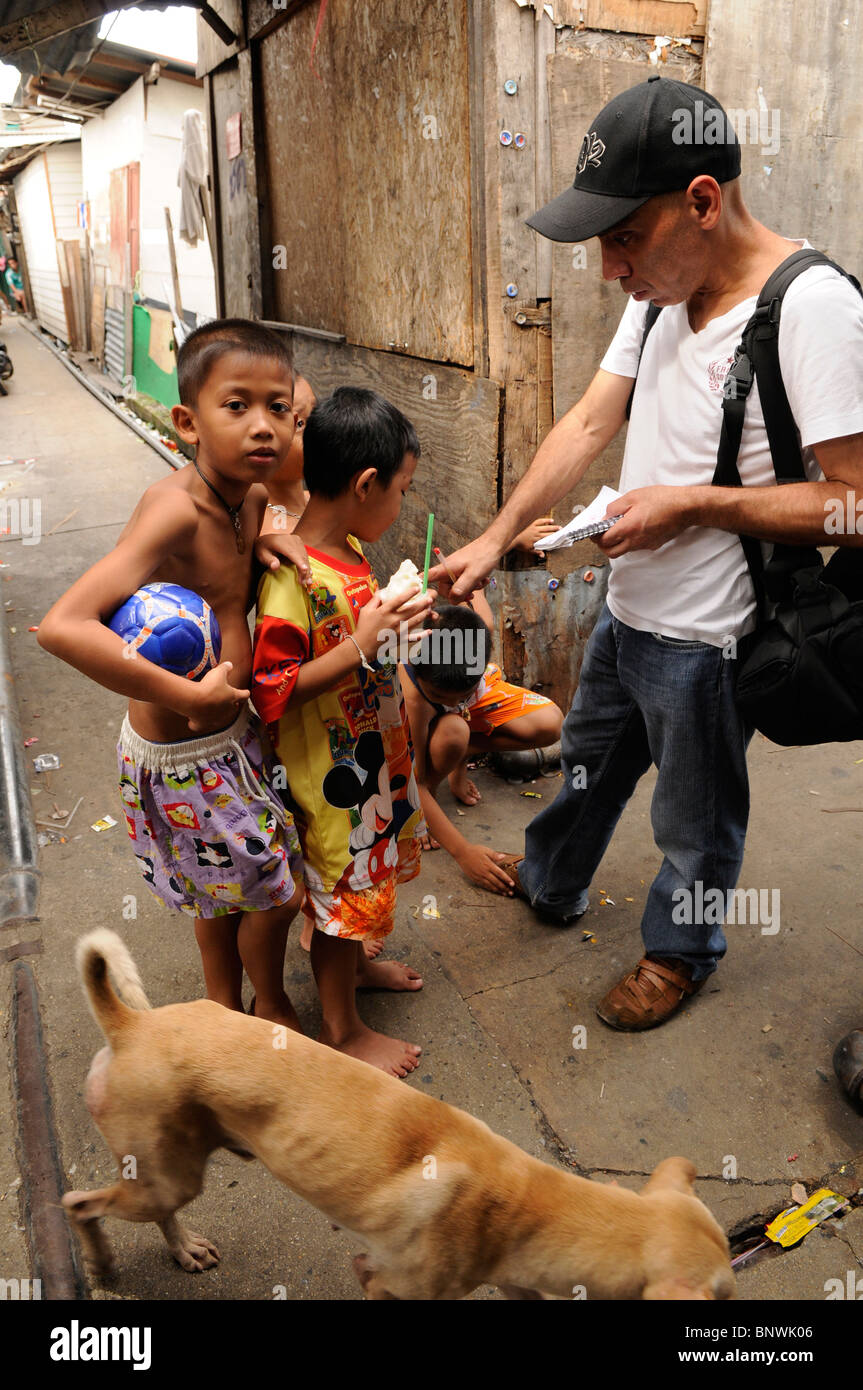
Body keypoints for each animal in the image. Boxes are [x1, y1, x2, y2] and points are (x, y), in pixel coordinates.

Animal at [62, 934, 733, 1301]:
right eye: (724, 1293)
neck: (526, 1205)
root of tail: (129, 1024)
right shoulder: (384, 1283)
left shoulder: (513, 1278)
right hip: (161, 1173)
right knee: (79, 1204)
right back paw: (100, 1264)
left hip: (166, 1170)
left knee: (155, 1209)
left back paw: (183, 1250)